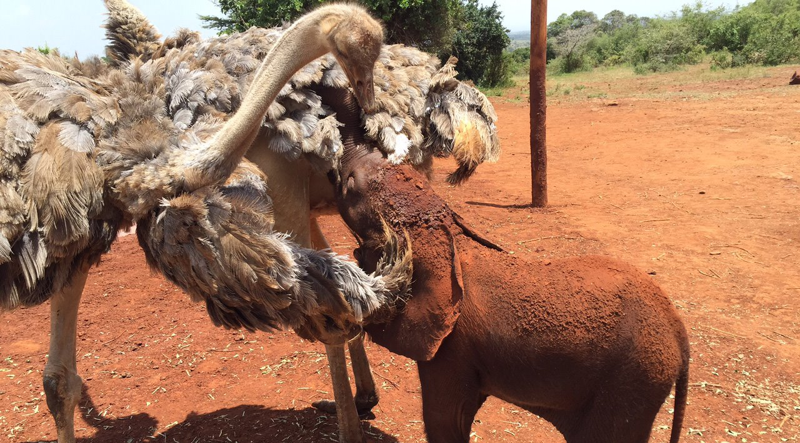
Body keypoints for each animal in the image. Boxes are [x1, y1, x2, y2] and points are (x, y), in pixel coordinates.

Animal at [334, 150, 692, 443]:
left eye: (350, 186)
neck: (449, 237)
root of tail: (678, 330)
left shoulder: (451, 348)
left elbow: (445, 421)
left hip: (633, 382)